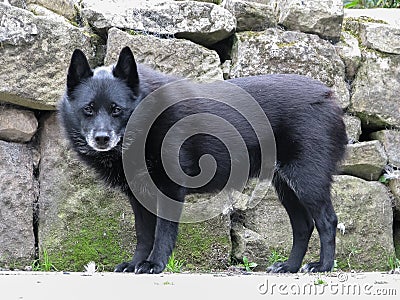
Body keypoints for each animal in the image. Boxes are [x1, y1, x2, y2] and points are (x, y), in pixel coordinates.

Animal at [60, 46, 346, 274]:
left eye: (116, 110)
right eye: (88, 109)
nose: (101, 139)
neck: (145, 118)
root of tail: (330, 96)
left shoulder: (170, 189)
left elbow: (162, 232)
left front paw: (155, 264)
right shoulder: (139, 196)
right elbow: (143, 235)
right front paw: (135, 263)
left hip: (307, 180)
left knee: (327, 221)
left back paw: (323, 267)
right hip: (287, 186)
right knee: (303, 226)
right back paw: (290, 266)